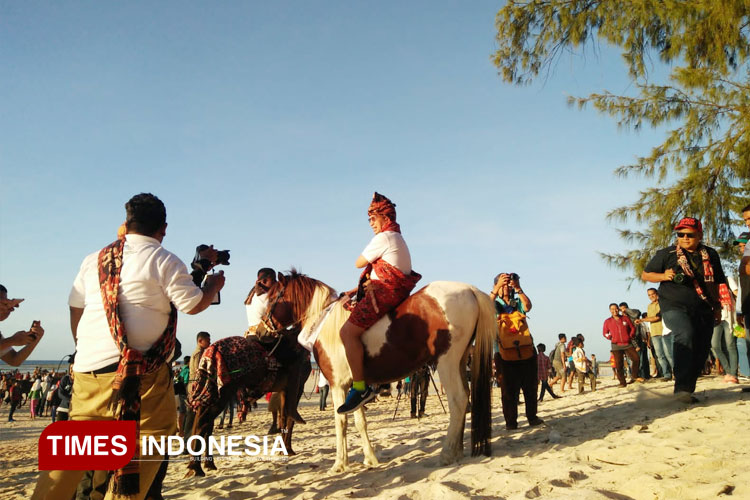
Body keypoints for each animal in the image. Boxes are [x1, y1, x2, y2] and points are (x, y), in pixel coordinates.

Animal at [264, 272, 500, 470]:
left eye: (272, 295)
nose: (264, 326)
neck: (323, 321)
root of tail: (470, 289)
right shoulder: (354, 389)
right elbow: (359, 421)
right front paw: (370, 459)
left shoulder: (338, 385)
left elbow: (341, 422)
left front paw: (339, 464)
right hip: (459, 361)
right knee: (465, 397)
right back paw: (457, 451)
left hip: (447, 362)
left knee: (458, 400)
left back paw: (447, 454)